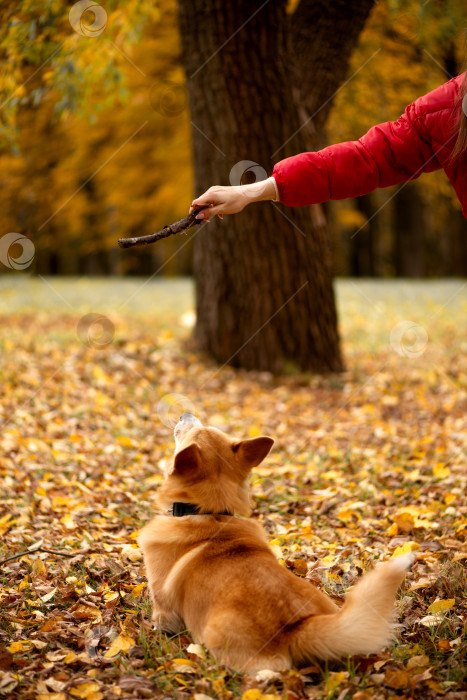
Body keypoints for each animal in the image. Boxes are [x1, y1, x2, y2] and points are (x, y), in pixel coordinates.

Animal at [137, 412, 414, 668]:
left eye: (194, 431)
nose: (186, 414)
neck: (208, 513)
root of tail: (297, 627)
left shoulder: (163, 607)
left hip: (216, 635)